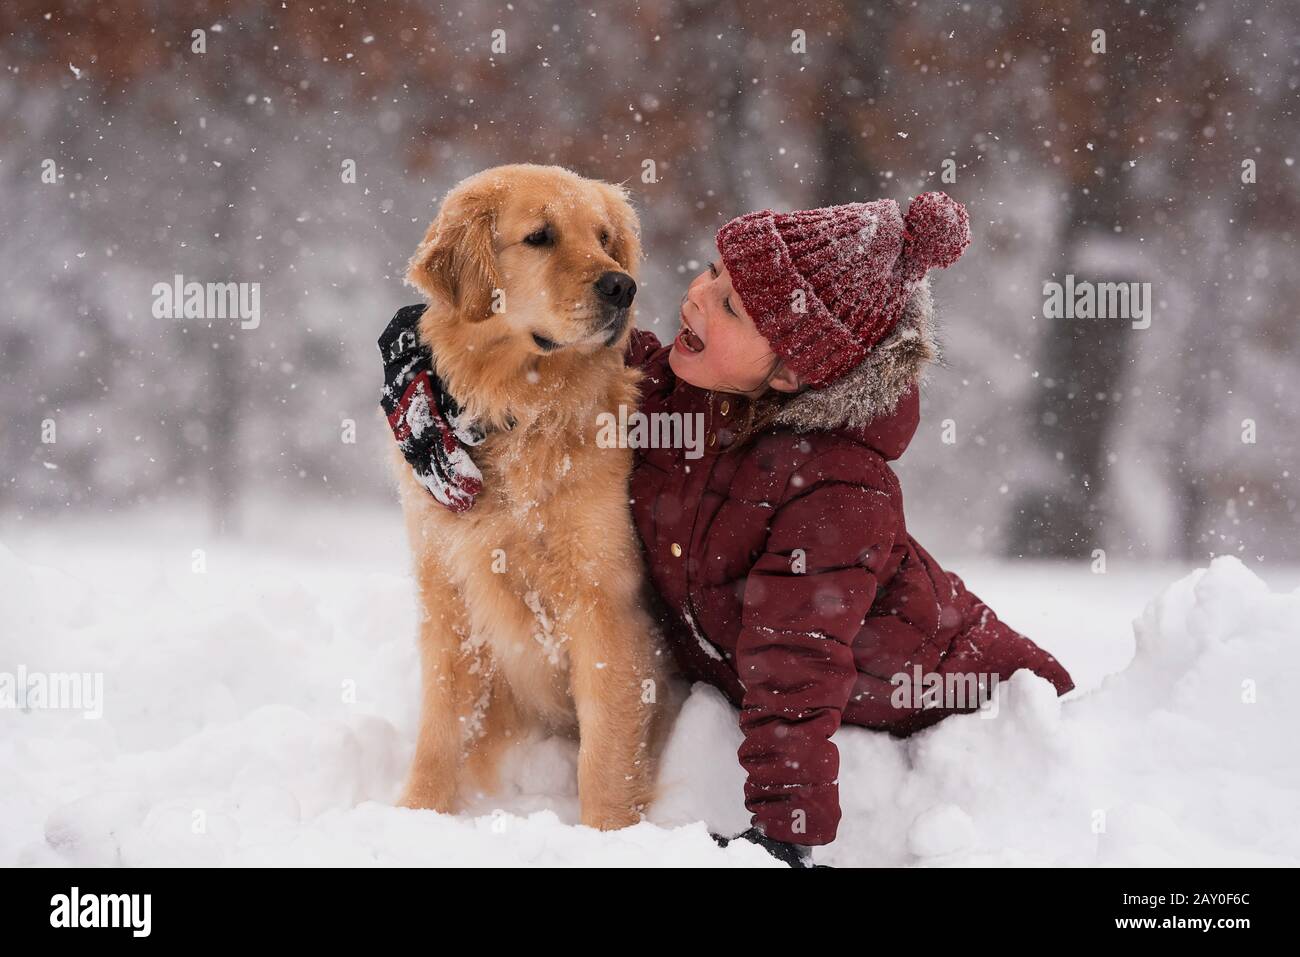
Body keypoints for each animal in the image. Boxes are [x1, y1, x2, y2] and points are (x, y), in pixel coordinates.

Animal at [390, 164, 665, 832]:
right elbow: (440, 725)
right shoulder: (447, 590)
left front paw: (608, 832)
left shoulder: (605, 601)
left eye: (605, 239)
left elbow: (607, 747)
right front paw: (419, 812)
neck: (519, 414)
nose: (623, 286)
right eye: (539, 236)